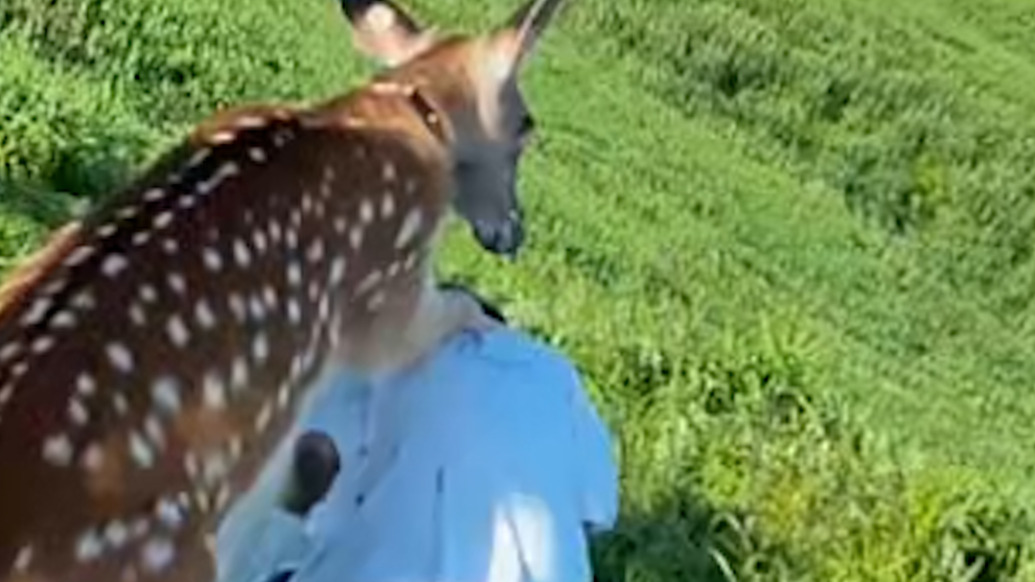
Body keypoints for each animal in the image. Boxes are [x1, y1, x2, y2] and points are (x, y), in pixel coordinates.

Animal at [0, 0, 568, 581]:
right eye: (527, 125)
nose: (513, 234)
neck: (412, 108)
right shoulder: (386, 283)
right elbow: (420, 328)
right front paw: (486, 310)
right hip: (166, 558)